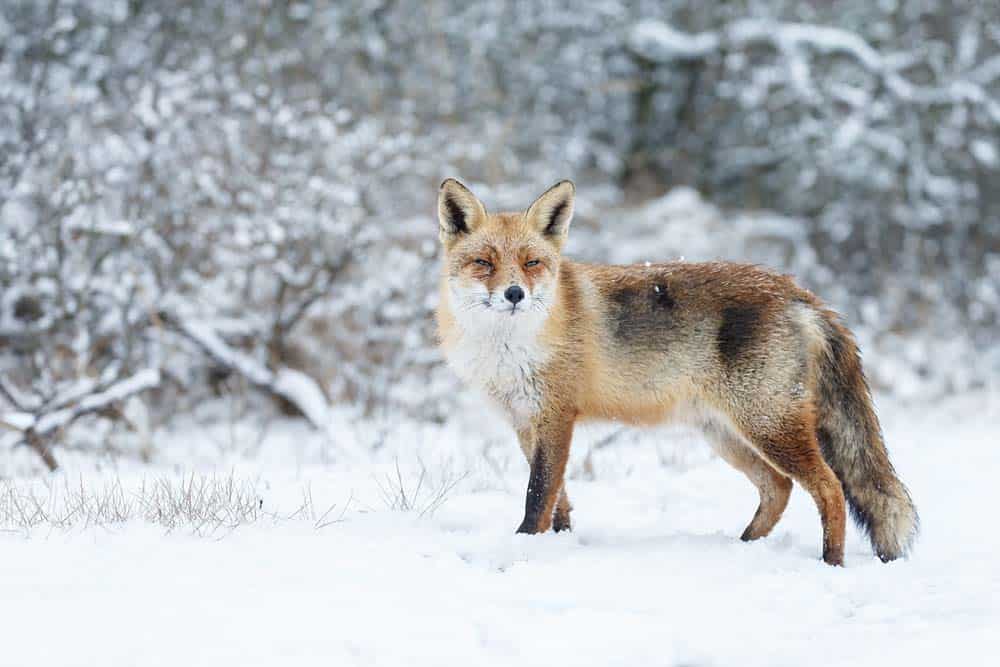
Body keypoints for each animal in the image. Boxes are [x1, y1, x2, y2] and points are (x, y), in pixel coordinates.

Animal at [434, 177, 916, 564]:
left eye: (531, 263)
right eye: (484, 263)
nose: (514, 294)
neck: (507, 349)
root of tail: (801, 292)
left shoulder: (555, 417)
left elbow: (538, 495)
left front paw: (523, 548)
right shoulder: (524, 423)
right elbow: (559, 499)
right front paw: (560, 541)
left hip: (768, 425)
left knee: (829, 488)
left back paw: (830, 562)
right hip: (726, 433)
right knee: (779, 488)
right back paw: (745, 546)